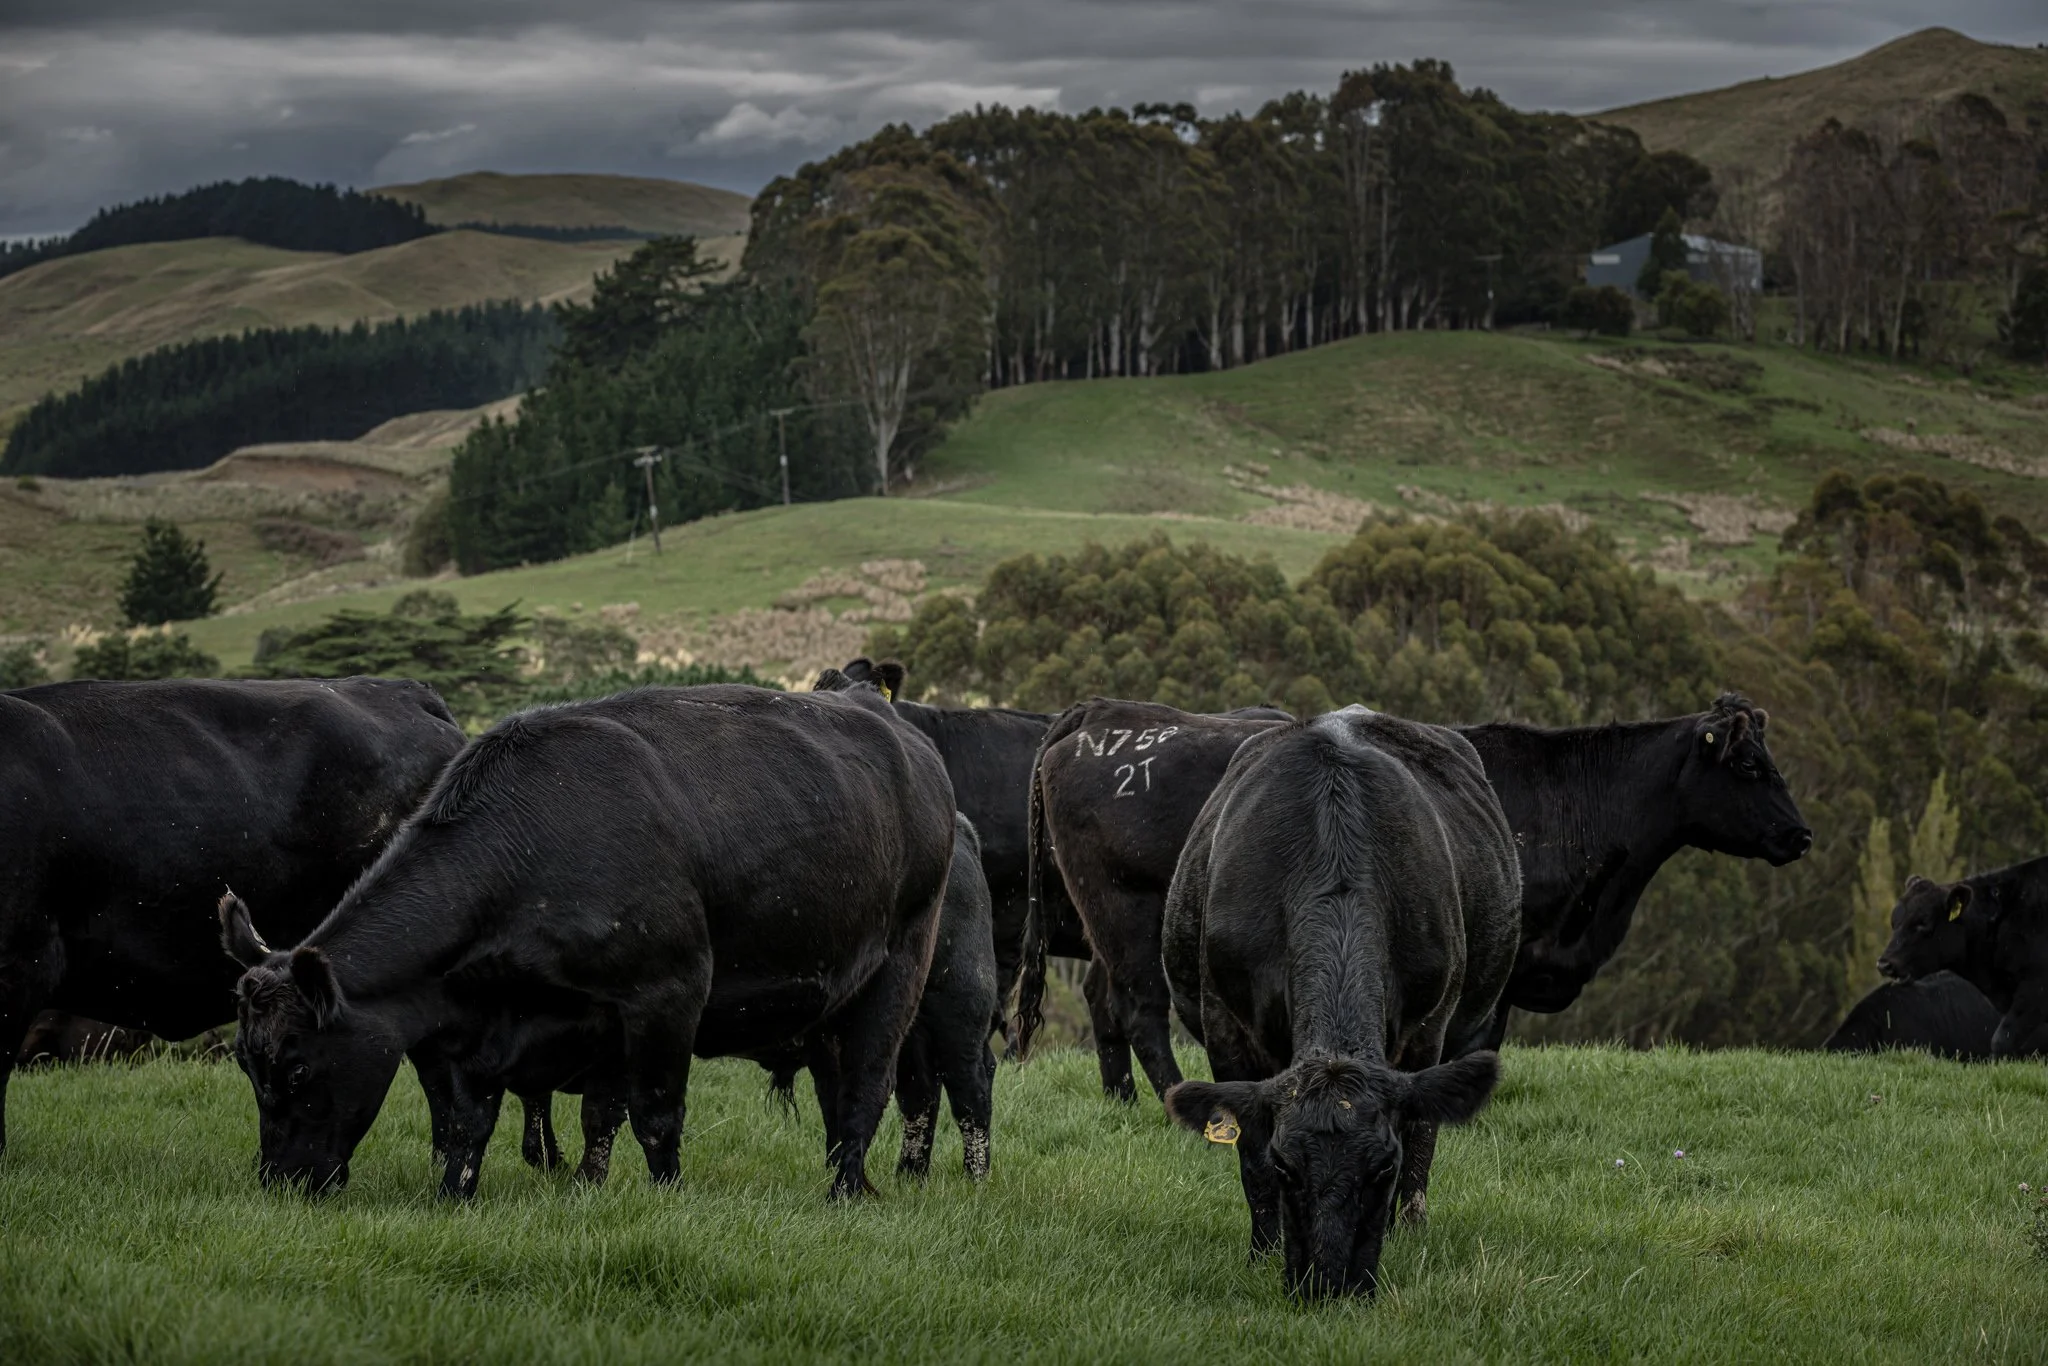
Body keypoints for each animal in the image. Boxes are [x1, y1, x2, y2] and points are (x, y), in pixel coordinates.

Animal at [221, 684, 957, 1199]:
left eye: (296, 1068)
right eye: (247, 1067)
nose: (278, 1181)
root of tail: (882, 713)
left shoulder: (668, 991)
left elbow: (654, 1111)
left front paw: (667, 1197)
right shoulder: (488, 1025)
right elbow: (483, 1121)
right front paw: (461, 1196)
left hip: (900, 964)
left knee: (867, 1086)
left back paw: (842, 1193)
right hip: (831, 997)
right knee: (837, 1091)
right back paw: (852, 1183)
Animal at [1019, 693, 1810, 1100]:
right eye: (1748, 764)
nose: (1800, 835)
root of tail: (1102, 715)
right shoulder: (1503, 958)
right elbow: (1481, 1038)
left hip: (1109, 925)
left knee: (1102, 1000)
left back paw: (1122, 1097)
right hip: (1126, 914)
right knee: (1139, 1009)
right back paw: (1168, 1098)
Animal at [1158, 707, 1519, 1299]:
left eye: (1382, 1169)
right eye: (1287, 1166)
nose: (1329, 1287)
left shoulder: (1429, 1027)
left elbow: (1419, 1136)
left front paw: (1400, 1237)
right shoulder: (1224, 1022)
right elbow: (1249, 1157)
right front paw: (1263, 1253)